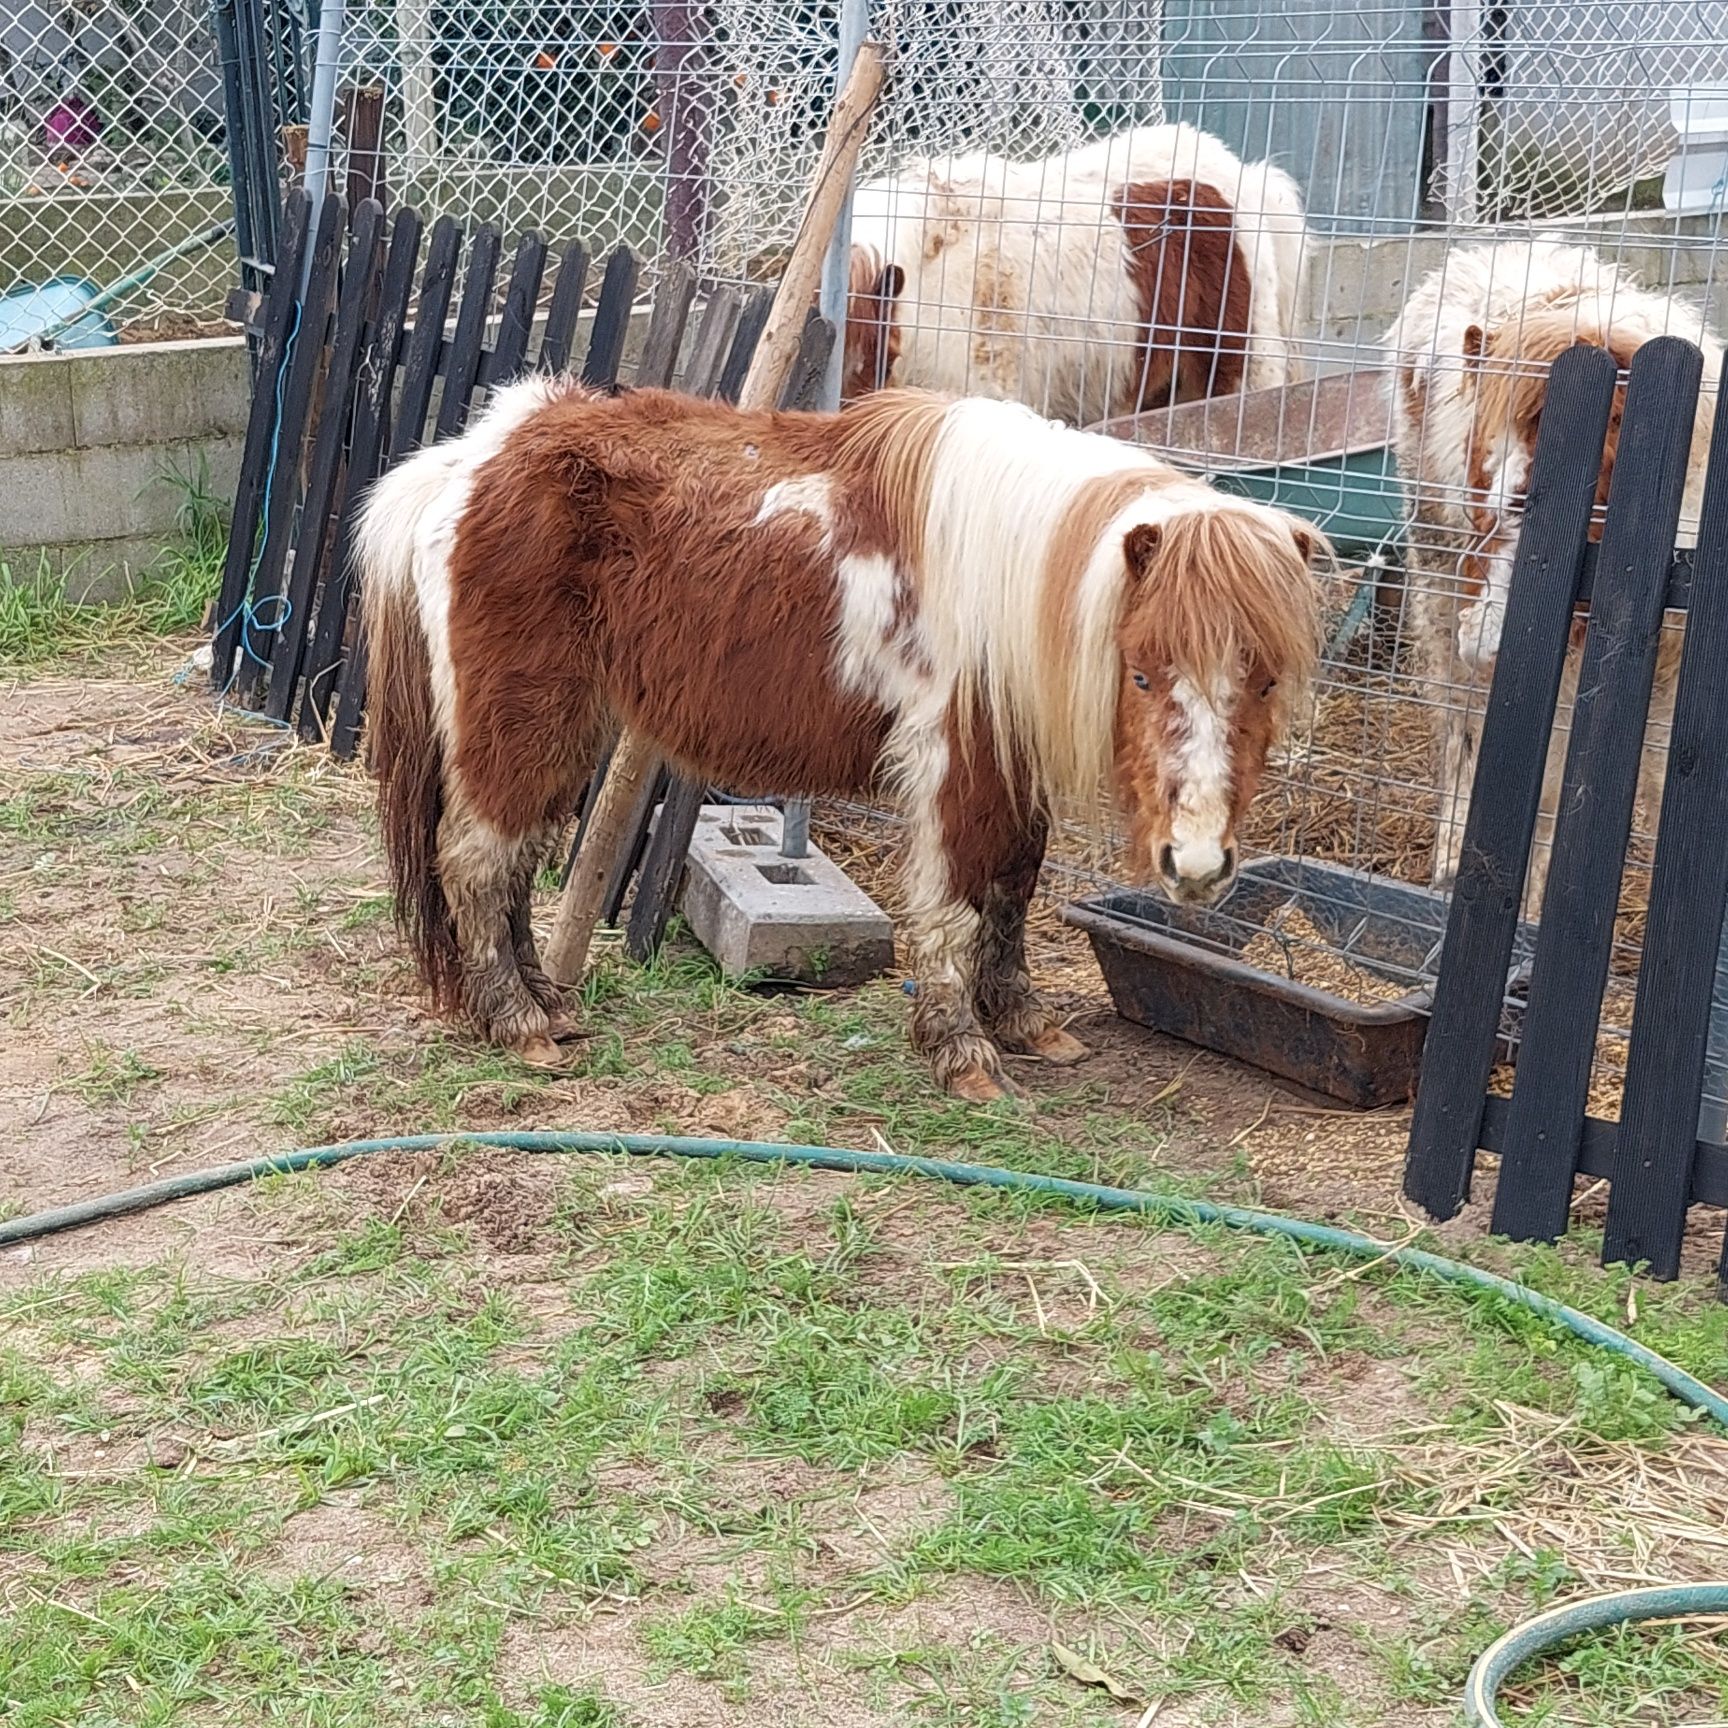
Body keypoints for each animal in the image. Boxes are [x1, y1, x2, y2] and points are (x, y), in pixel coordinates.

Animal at [357, 385, 1327, 1099]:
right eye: (1143, 674)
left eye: (1267, 680)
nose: (1195, 866)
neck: (1021, 568)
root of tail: (469, 460)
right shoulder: (954, 764)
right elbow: (955, 902)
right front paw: (963, 1054)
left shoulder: (1010, 767)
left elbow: (1013, 888)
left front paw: (1024, 1022)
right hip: (522, 719)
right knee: (477, 862)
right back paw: (518, 1025)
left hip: (561, 726)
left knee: (515, 862)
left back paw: (549, 1005)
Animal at [1375, 247, 1714, 919]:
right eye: (1481, 473)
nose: (1485, 639)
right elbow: (1546, 777)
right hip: (1439, 583)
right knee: (1461, 727)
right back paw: (1453, 859)